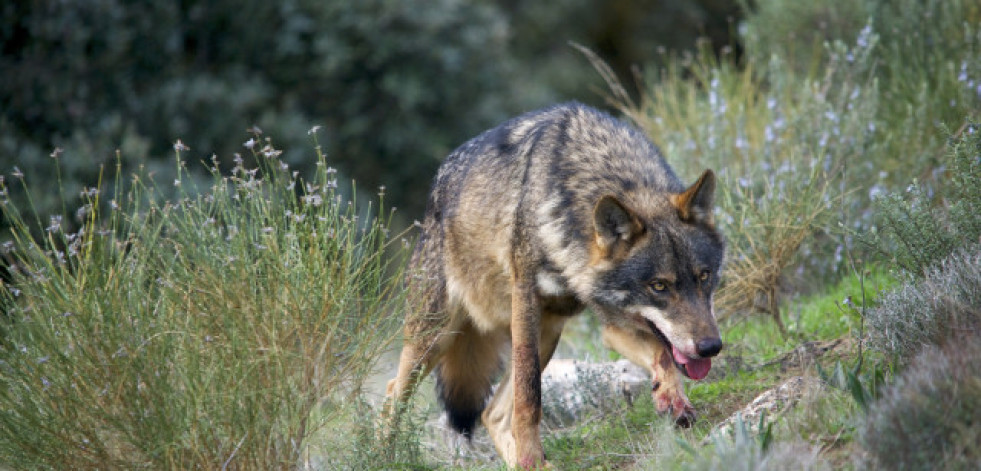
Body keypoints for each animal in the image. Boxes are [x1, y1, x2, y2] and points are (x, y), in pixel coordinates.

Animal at [386, 102, 724, 468]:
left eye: (704, 276)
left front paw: (672, 399)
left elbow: (663, 354)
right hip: (436, 337)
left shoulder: (613, 324)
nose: (711, 347)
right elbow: (529, 397)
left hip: (547, 333)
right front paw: (530, 456)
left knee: (492, 414)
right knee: (393, 394)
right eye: (659, 286)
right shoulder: (526, 303)